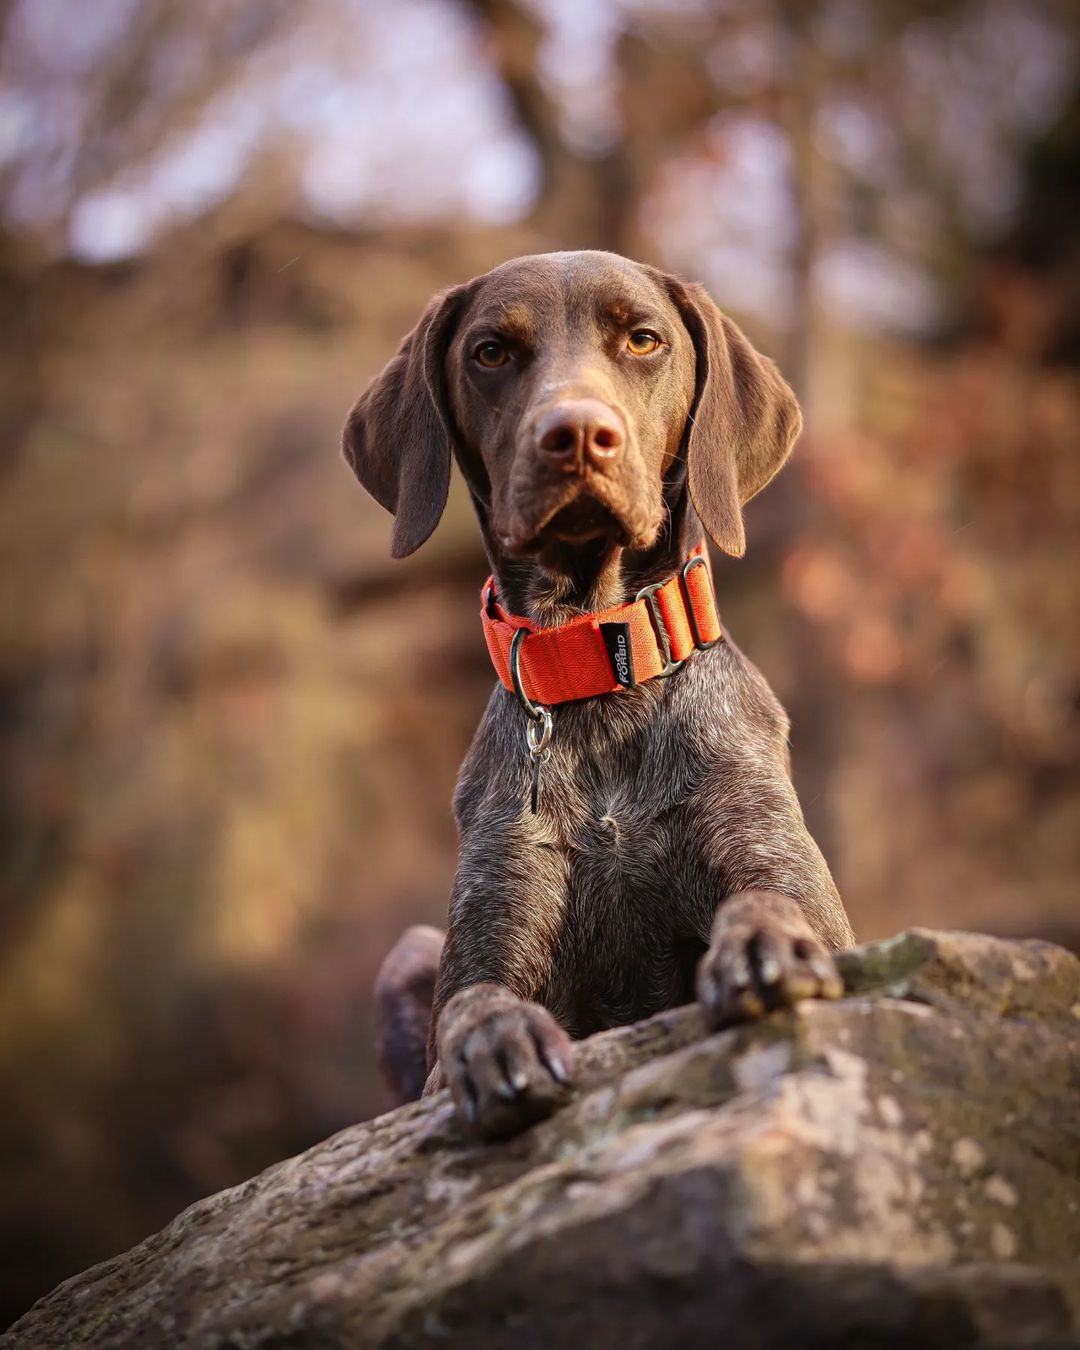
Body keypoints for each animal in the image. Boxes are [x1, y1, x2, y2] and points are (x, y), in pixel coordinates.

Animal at [344, 251, 853, 1139]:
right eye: (491, 352)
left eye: (644, 339)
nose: (576, 433)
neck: (599, 661)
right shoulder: (486, 939)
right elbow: (474, 1002)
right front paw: (498, 1039)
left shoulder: (794, 880)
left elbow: (770, 903)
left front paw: (765, 942)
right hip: (407, 951)